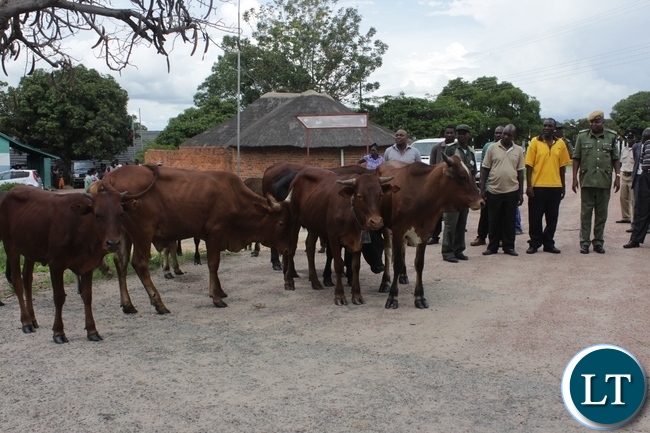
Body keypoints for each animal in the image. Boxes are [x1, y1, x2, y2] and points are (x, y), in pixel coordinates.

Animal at [0, 184, 130, 342]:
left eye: (121, 214)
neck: (80, 226)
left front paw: (92, 330)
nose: (113, 243)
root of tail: (11, 191)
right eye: (97, 215)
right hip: (10, 245)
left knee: (27, 280)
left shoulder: (88, 265)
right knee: (17, 282)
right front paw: (58, 332)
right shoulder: (55, 264)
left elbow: (87, 296)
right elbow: (59, 297)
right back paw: (26, 322)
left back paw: (32, 318)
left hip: (30, 251)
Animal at [102, 164, 292, 312]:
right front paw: (216, 297)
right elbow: (213, 264)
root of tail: (112, 178)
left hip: (123, 233)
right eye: (281, 223)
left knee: (121, 262)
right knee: (139, 263)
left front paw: (219, 291)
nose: (288, 249)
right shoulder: (215, 233)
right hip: (143, 232)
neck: (234, 195)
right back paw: (159, 303)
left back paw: (127, 305)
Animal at [286, 167, 398, 306]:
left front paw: (357, 295)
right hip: (294, 221)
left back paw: (315, 282)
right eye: (359, 196)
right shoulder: (333, 238)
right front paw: (339, 295)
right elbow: (338, 264)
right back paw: (289, 281)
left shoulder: (358, 241)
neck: (350, 214)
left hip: (313, 225)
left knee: (310, 247)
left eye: (381, 195)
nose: (376, 222)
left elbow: (355, 266)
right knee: (292, 249)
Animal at [374, 157, 480, 308]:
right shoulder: (398, 231)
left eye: (471, 175)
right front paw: (393, 297)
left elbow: (419, 264)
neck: (421, 194)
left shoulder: (424, 234)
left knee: (403, 251)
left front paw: (419, 296)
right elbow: (397, 262)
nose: (482, 202)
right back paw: (385, 282)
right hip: (386, 227)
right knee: (388, 253)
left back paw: (403, 276)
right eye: (461, 176)